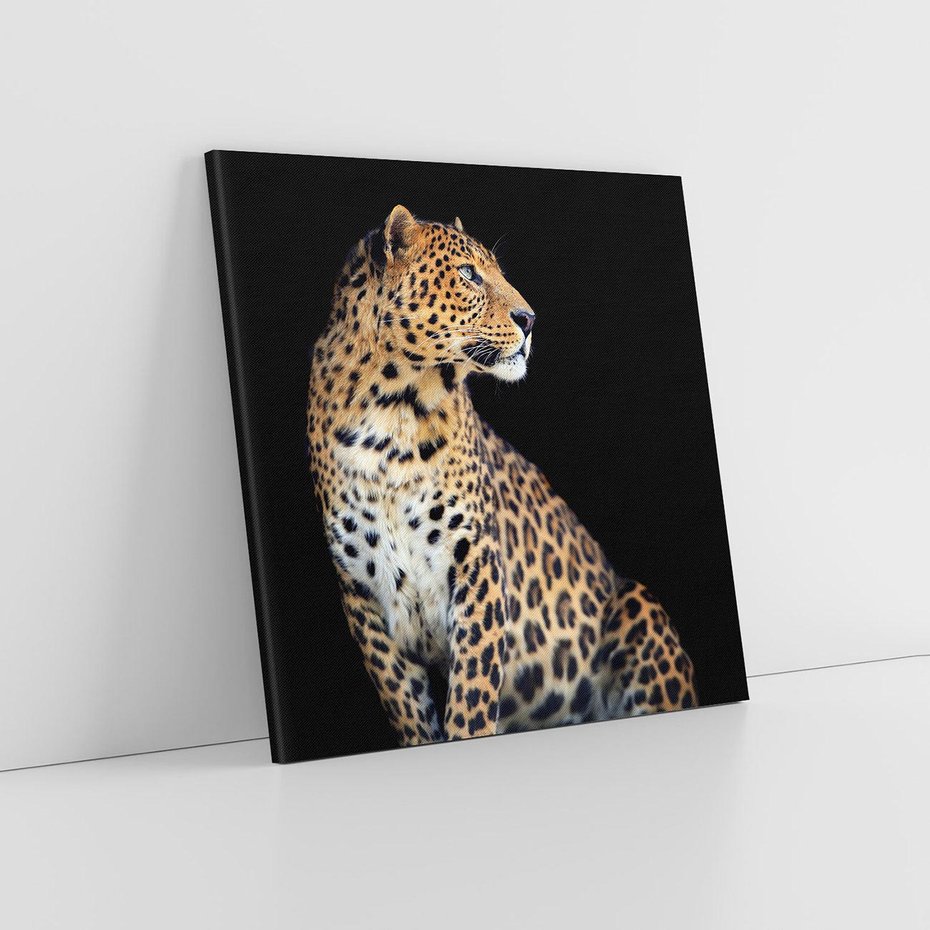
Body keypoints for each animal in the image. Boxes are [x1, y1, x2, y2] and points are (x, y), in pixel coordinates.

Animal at [307, 204, 697, 746]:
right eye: (469, 275)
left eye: (497, 272)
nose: (530, 320)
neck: (392, 413)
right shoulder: (363, 595)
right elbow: (410, 711)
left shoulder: (477, 563)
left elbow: (471, 698)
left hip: (637, 604)